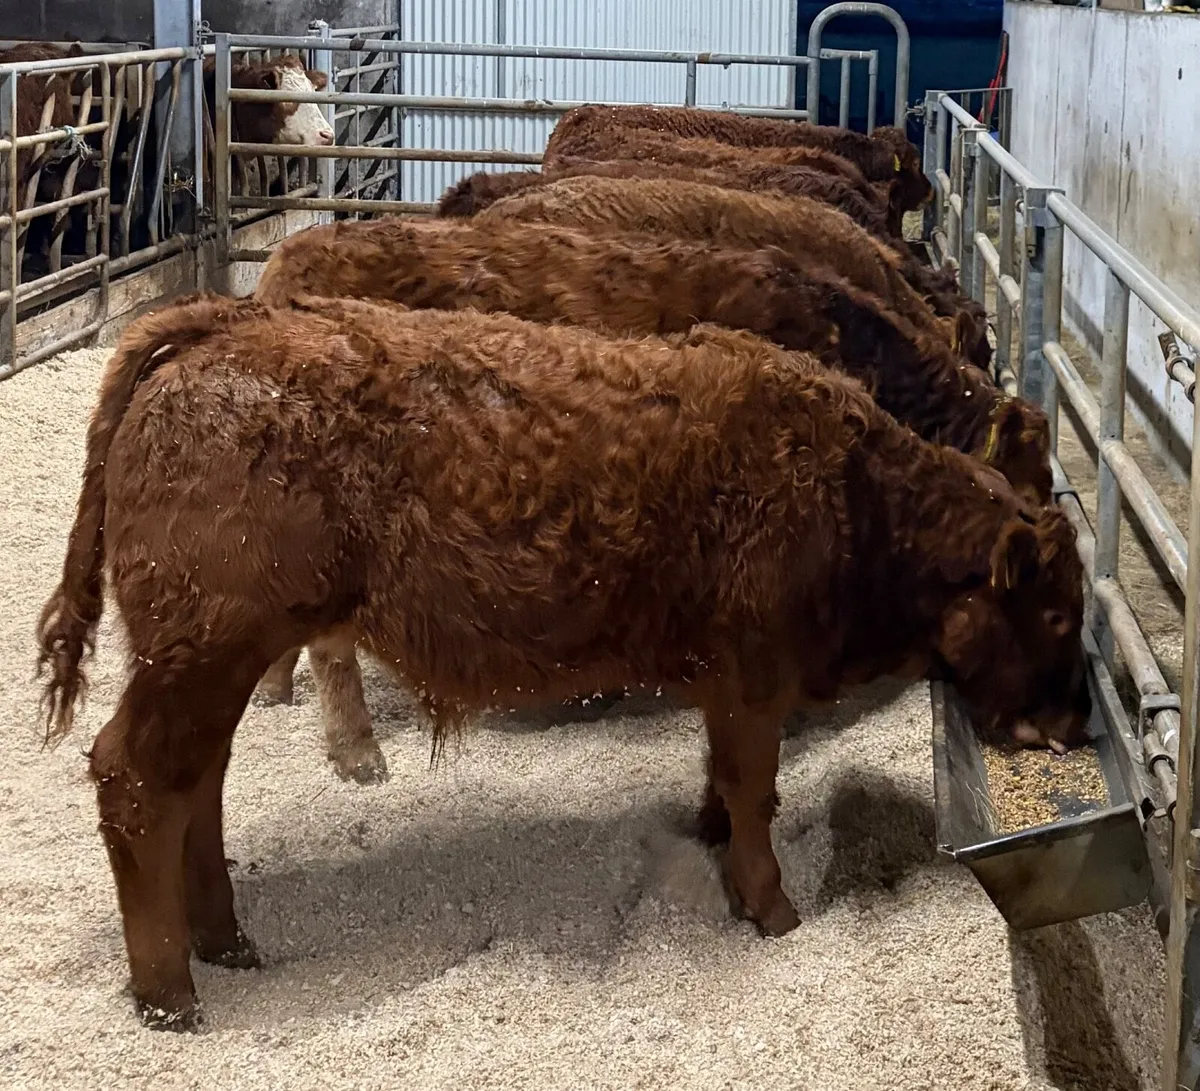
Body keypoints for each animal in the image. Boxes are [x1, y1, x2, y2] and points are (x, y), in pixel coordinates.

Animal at [37, 291, 1089, 1029]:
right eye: (1056, 610)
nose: (1076, 720)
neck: (850, 490)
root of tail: (222, 326)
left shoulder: (730, 687)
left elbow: (724, 780)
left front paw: (712, 844)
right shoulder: (755, 675)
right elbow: (756, 791)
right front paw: (774, 911)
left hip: (209, 660)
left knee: (197, 786)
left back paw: (226, 940)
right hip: (201, 653)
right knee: (136, 782)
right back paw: (170, 993)